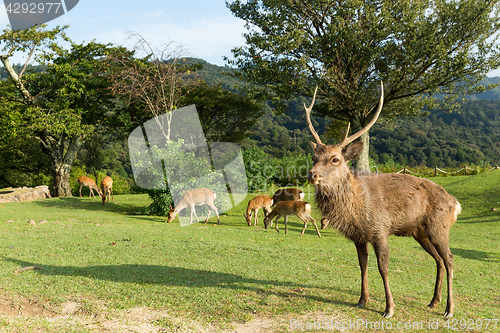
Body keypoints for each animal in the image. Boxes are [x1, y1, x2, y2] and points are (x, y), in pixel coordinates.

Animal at [302, 81, 458, 318]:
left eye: (335, 159)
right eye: (314, 157)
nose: (312, 175)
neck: (356, 210)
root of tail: (455, 204)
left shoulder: (380, 229)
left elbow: (383, 267)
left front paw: (389, 308)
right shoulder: (358, 236)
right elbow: (362, 264)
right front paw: (362, 299)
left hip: (439, 226)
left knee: (449, 259)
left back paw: (449, 309)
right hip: (420, 232)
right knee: (438, 260)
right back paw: (433, 302)